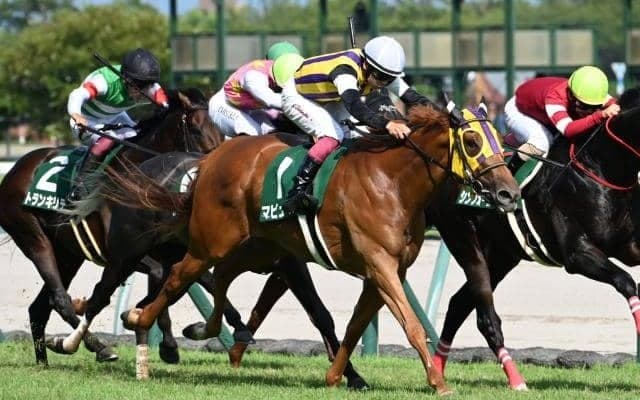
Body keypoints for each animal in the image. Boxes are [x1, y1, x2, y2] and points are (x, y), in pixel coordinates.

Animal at [0, 88, 222, 367]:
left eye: (220, 129)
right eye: (195, 128)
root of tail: (16, 168)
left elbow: (183, 281)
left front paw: (166, 341)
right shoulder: (124, 253)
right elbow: (160, 277)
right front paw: (163, 340)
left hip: (68, 254)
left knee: (40, 307)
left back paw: (44, 363)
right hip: (32, 236)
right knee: (60, 299)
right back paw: (98, 347)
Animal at [86, 101, 519, 394]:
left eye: (499, 140)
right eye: (471, 140)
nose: (509, 194)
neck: (393, 183)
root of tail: (211, 158)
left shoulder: (382, 272)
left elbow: (354, 325)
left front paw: (337, 376)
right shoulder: (380, 264)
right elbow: (411, 325)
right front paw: (436, 381)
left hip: (257, 246)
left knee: (221, 275)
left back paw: (206, 331)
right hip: (214, 239)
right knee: (180, 276)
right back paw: (140, 321)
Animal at [425, 87, 640, 390]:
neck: (601, 166)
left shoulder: (628, 246)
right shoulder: (577, 254)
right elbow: (627, 282)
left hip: (501, 257)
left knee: (458, 305)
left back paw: (438, 372)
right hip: (463, 240)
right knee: (485, 319)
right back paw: (515, 380)